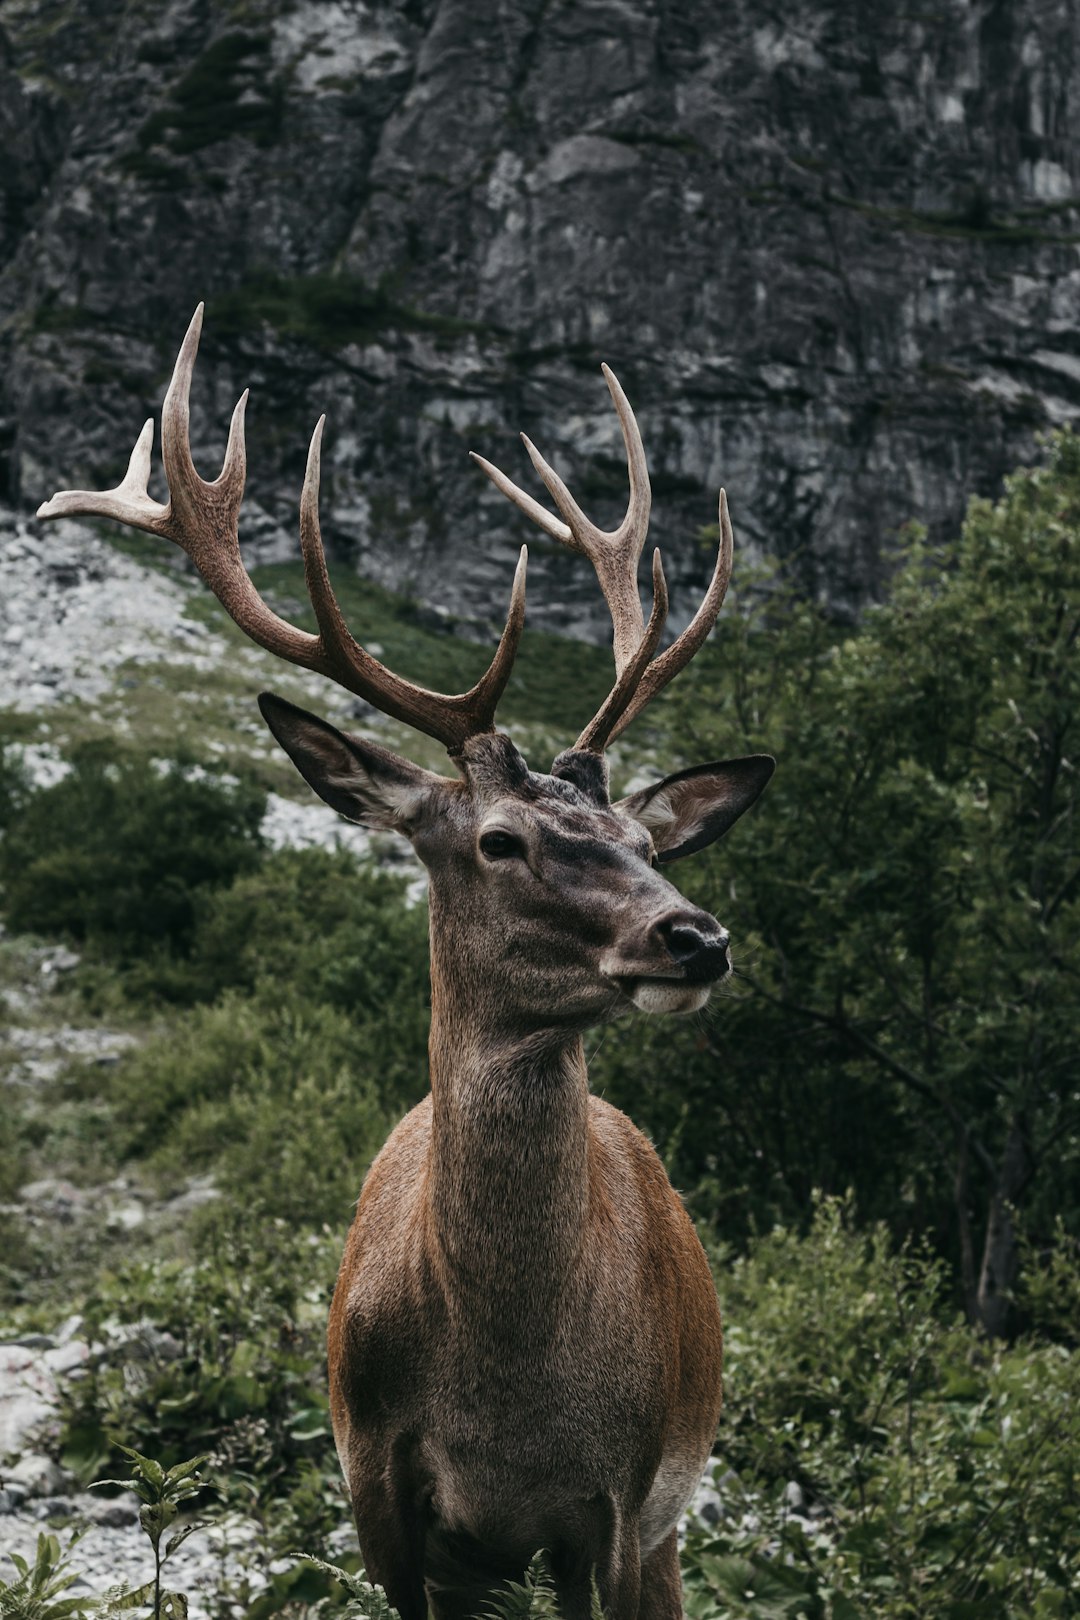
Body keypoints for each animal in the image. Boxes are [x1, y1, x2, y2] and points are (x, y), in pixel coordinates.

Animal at [38, 306, 773, 1620]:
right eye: (500, 839)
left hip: (668, 1522)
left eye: (645, 843)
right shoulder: (376, 1483)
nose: (696, 936)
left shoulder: (617, 1502)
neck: (506, 1398)